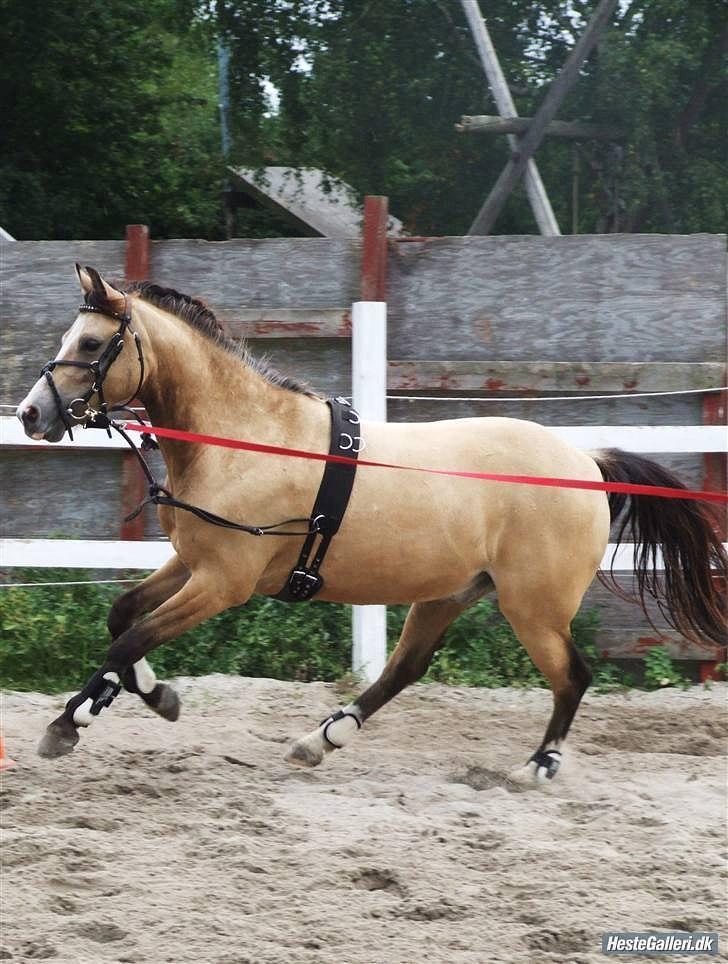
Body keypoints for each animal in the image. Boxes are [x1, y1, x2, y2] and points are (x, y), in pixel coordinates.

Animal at [16, 265, 727, 784]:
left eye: (89, 344)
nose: (30, 414)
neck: (243, 440)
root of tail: (586, 463)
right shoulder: (190, 563)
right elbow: (122, 619)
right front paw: (151, 695)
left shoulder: (223, 583)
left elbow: (128, 640)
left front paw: (70, 724)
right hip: (449, 593)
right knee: (404, 669)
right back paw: (320, 739)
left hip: (533, 607)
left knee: (572, 676)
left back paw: (537, 766)